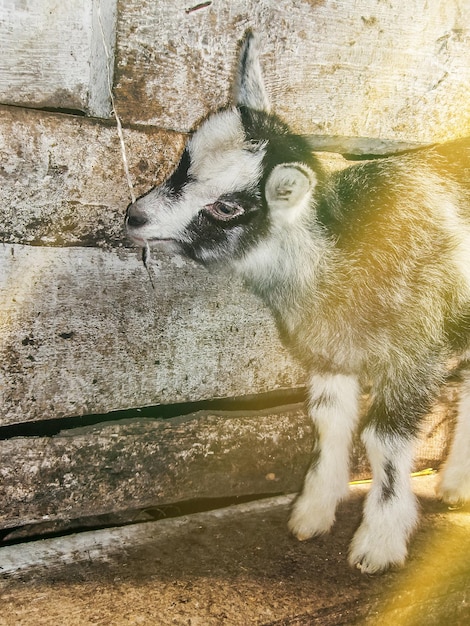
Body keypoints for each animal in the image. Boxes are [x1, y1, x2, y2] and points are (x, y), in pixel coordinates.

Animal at [126, 33, 470, 572]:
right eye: (183, 161)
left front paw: (378, 543)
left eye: (227, 207)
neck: (338, 251)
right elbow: (328, 422)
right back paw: (456, 485)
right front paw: (312, 512)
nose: (134, 217)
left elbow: (383, 442)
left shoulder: (415, 354)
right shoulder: (329, 349)